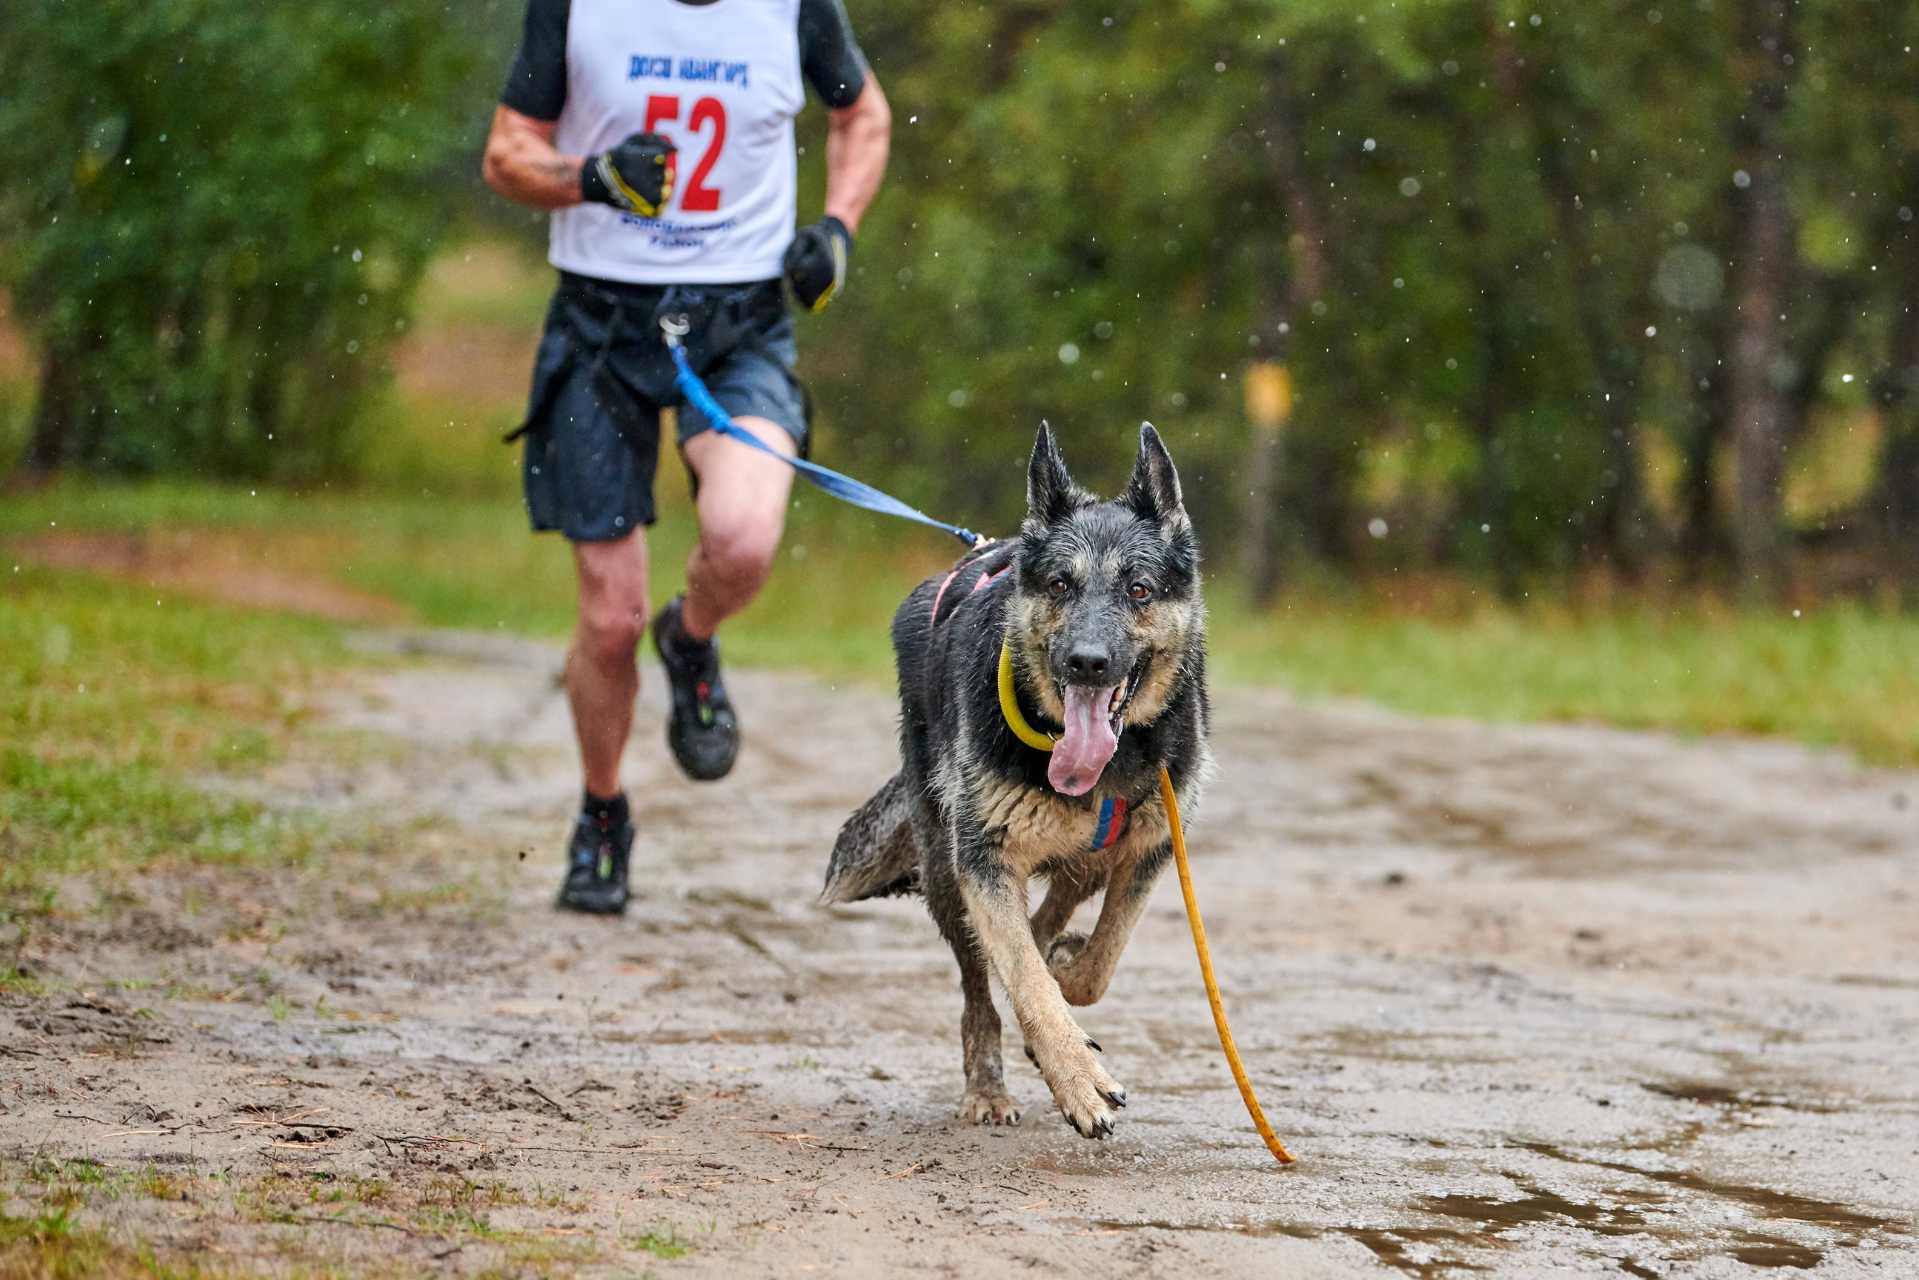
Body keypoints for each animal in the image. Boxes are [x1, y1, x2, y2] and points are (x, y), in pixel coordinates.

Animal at [817, 422, 1205, 1143]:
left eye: (1139, 590)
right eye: (1058, 584)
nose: (1087, 662)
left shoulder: (1149, 850)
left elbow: (1097, 963)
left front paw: (1068, 966)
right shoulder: (985, 863)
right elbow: (1025, 979)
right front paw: (1077, 1079)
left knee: (1061, 901)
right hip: (948, 873)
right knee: (981, 988)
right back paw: (988, 1088)